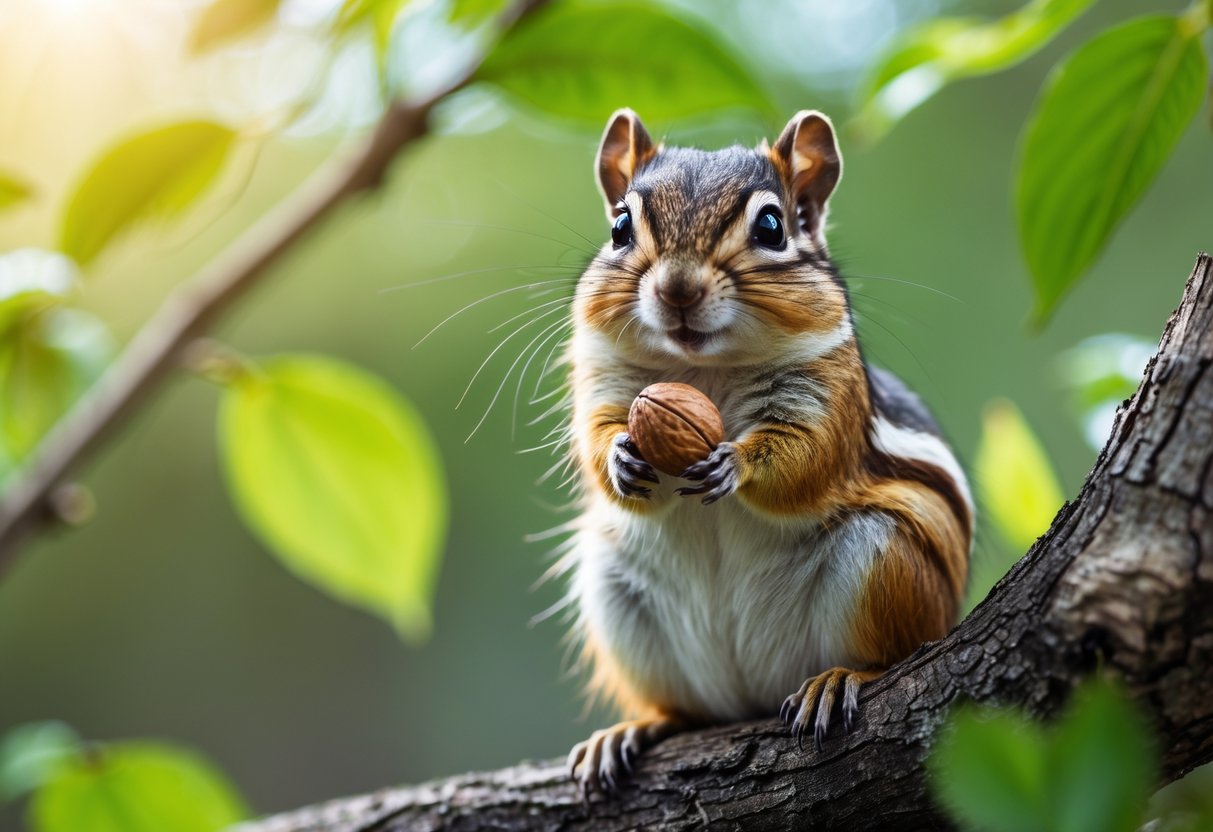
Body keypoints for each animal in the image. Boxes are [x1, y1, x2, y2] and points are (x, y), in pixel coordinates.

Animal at [561, 108, 973, 795]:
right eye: (619, 227)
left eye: (772, 226)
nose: (677, 289)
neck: (704, 370)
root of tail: (752, 691)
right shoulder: (603, 380)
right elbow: (596, 441)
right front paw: (621, 456)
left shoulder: (826, 394)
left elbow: (806, 459)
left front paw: (736, 462)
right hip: (617, 598)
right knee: (684, 712)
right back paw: (634, 729)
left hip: (887, 561)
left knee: (895, 655)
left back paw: (839, 679)